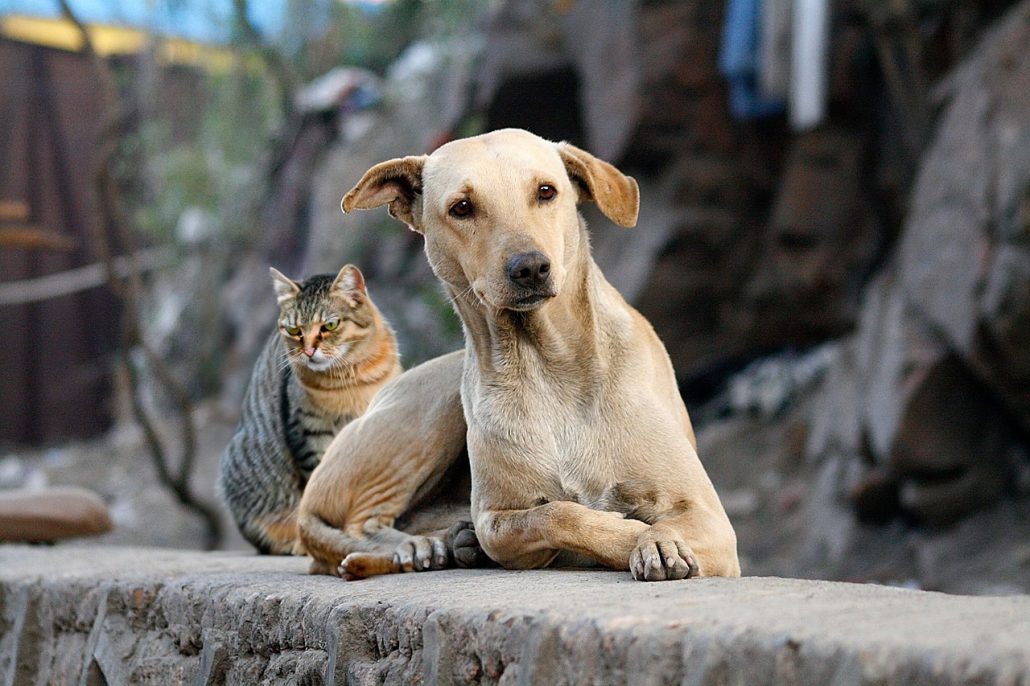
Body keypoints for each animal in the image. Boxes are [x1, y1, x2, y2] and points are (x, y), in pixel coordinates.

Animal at [218, 263, 401, 552]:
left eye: (329, 325)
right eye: (294, 331)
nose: (308, 351)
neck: (349, 378)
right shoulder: (307, 431)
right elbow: (320, 482)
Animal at [298, 126, 741, 576]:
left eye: (546, 191)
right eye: (462, 207)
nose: (529, 267)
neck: (548, 365)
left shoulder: (709, 516)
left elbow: (666, 522)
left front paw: (659, 542)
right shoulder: (497, 520)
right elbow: (555, 514)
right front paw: (632, 535)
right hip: (426, 418)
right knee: (363, 522)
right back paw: (421, 547)